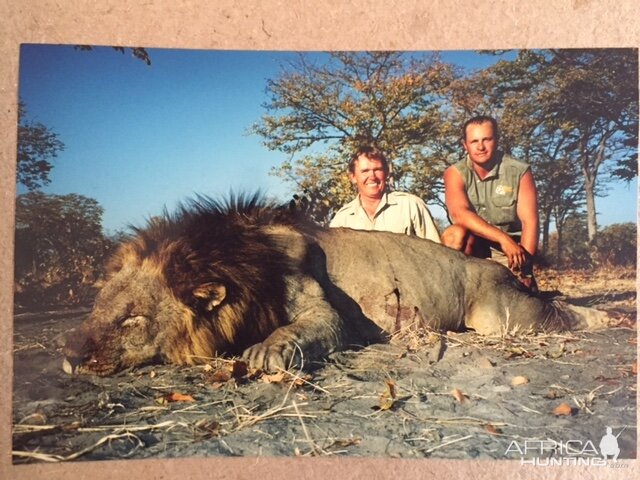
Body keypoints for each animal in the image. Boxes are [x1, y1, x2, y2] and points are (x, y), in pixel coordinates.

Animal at [62, 194, 608, 376]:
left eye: (132, 319)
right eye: (98, 308)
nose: (68, 357)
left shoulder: (321, 306)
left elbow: (300, 330)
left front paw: (264, 353)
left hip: (501, 314)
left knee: (556, 310)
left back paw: (607, 316)